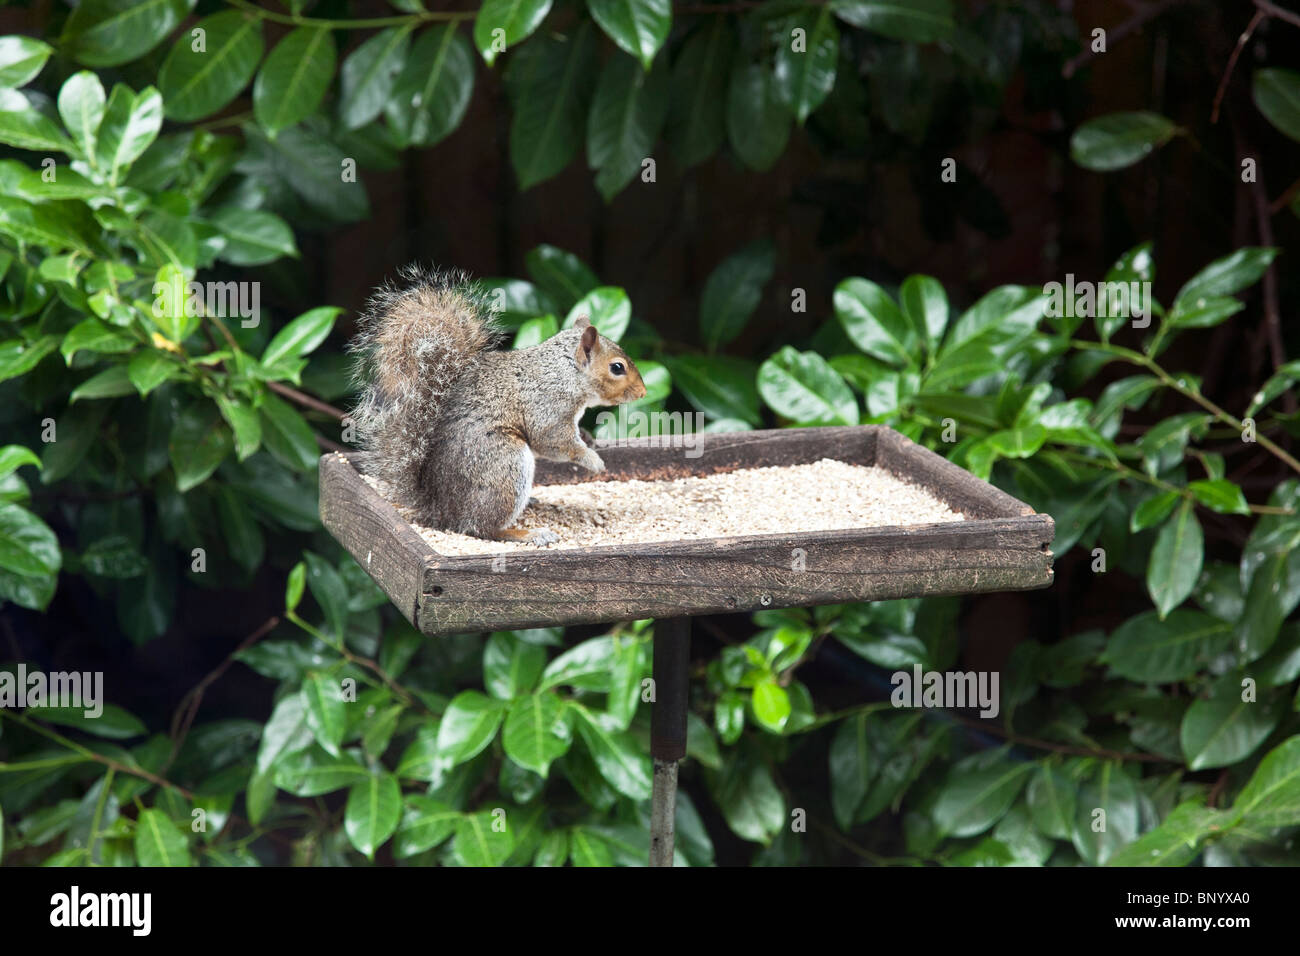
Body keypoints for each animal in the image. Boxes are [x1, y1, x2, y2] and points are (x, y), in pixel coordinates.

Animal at [348, 267, 647, 546]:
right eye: (617, 367)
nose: (643, 392)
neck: (566, 372)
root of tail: (438, 508)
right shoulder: (548, 407)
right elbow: (553, 442)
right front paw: (593, 460)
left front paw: (589, 440)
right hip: (504, 463)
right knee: (482, 528)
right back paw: (527, 533)